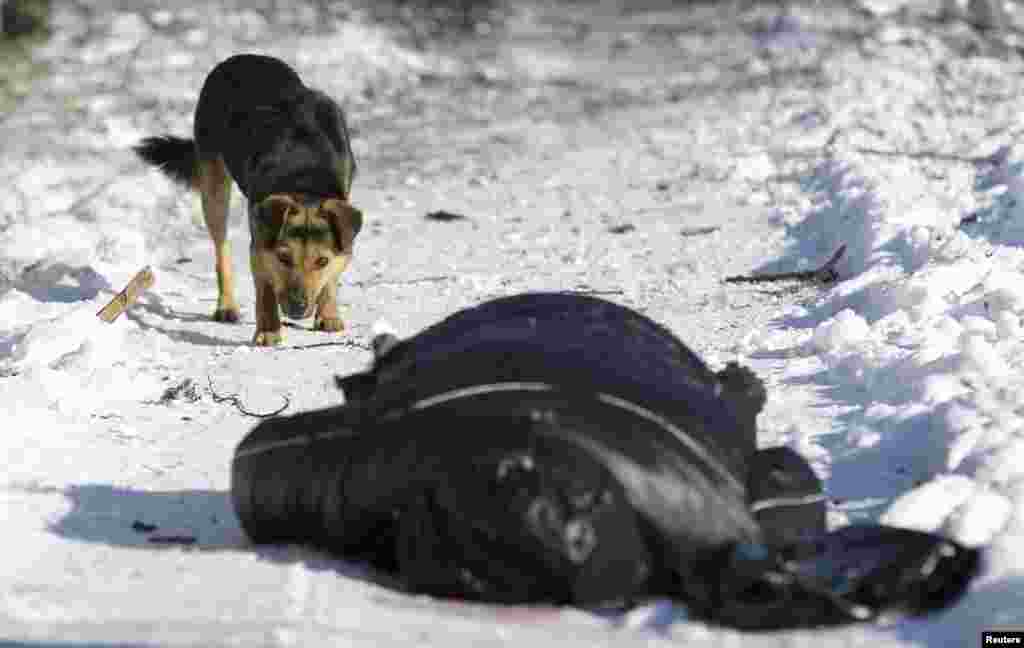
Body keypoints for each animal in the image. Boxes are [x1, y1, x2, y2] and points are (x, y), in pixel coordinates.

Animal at [134, 53, 362, 346]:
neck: (304, 179)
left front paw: (329, 313)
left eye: (321, 261)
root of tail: (239, 58)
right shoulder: (260, 242)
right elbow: (265, 289)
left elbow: (331, 277)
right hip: (214, 186)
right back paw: (226, 305)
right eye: (284, 257)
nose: (297, 308)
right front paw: (269, 330)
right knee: (221, 249)